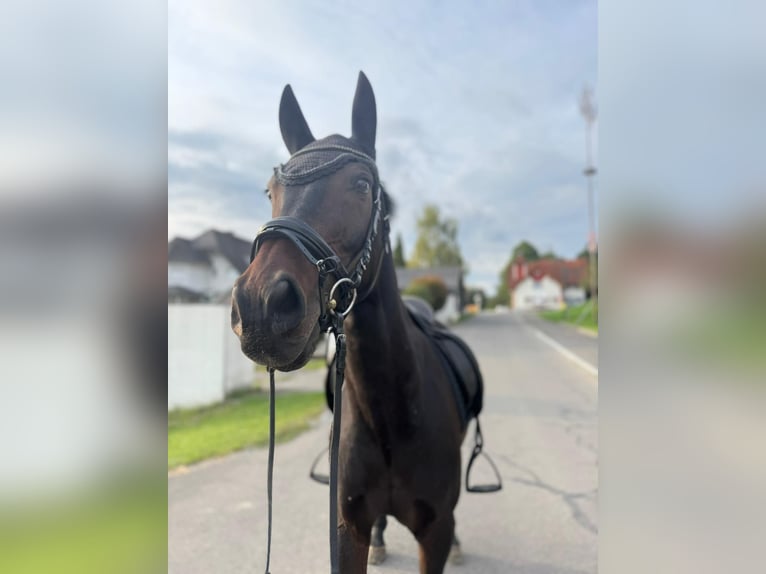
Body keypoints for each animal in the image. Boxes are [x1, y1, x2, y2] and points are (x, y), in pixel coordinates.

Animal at [231, 72, 478, 574]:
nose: (261, 304)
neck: (393, 412)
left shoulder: (435, 533)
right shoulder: (347, 529)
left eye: (362, 184)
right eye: (270, 191)